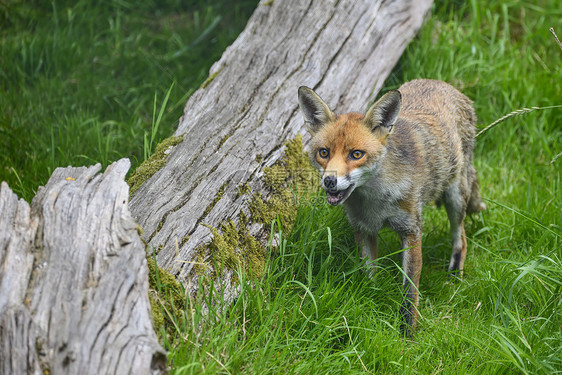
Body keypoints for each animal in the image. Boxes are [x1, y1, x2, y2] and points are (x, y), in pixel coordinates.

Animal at [296, 79, 484, 334]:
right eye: (323, 152)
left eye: (356, 154)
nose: (329, 181)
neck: (375, 201)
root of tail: (442, 83)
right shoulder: (363, 229)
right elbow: (368, 275)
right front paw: (371, 299)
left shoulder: (411, 230)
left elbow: (409, 293)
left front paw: (407, 335)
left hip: (455, 198)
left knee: (461, 238)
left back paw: (454, 275)